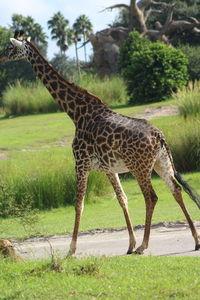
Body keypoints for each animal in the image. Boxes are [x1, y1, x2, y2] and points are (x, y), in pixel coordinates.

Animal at [0, 31, 199, 255]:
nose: (0, 58)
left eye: (9, 48)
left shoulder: (81, 163)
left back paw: (144, 246)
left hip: (140, 167)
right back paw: (195, 240)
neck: (76, 113)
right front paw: (129, 244)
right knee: (176, 190)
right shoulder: (108, 169)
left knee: (152, 197)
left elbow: (79, 204)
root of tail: (159, 136)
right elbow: (122, 199)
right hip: (161, 163)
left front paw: (71, 250)